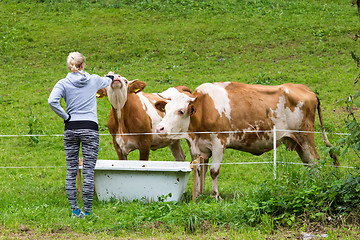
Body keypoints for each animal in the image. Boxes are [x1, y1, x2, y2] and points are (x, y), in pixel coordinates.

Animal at [156, 81, 338, 198]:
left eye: (181, 111)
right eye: (165, 109)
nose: (160, 128)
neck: (204, 110)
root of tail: (306, 90)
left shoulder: (219, 143)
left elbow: (214, 171)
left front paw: (215, 196)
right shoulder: (197, 147)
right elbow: (200, 170)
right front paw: (200, 194)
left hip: (305, 136)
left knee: (315, 161)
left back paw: (316, 187)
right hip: (298, 141)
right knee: (309, 163)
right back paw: (310, 186)